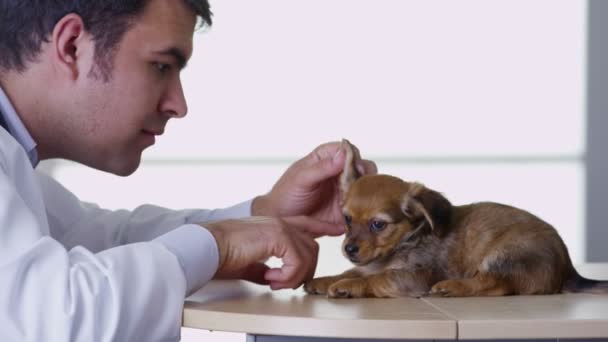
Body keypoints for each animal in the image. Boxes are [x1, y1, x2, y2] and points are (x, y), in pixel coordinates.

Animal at [306, 140, 608, 298]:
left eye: (378, 224)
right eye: (347, 219)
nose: (349, 248)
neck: (407, 242)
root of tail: (569, 268)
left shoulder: (415, 277)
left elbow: (377, 279)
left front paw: (345, 287)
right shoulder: (368, 265)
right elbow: (352, 271)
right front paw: (323, 280)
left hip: (506, 253)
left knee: (497, 285)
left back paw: (451, 286)